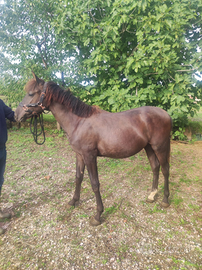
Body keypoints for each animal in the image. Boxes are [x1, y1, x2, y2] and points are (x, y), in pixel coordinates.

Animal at [15, 73, 172, 226]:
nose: (16, 115)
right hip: (149, 147)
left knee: (165, 169)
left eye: (31, 93)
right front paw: (73, 201)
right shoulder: (79, 155)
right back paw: (151, 196)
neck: (79, 122)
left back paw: (165, 200)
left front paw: (97, 215)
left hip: (160, 147)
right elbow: (78, 178)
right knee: (155, 167)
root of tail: (166, 114)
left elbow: (94, 183)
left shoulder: (89, 156)